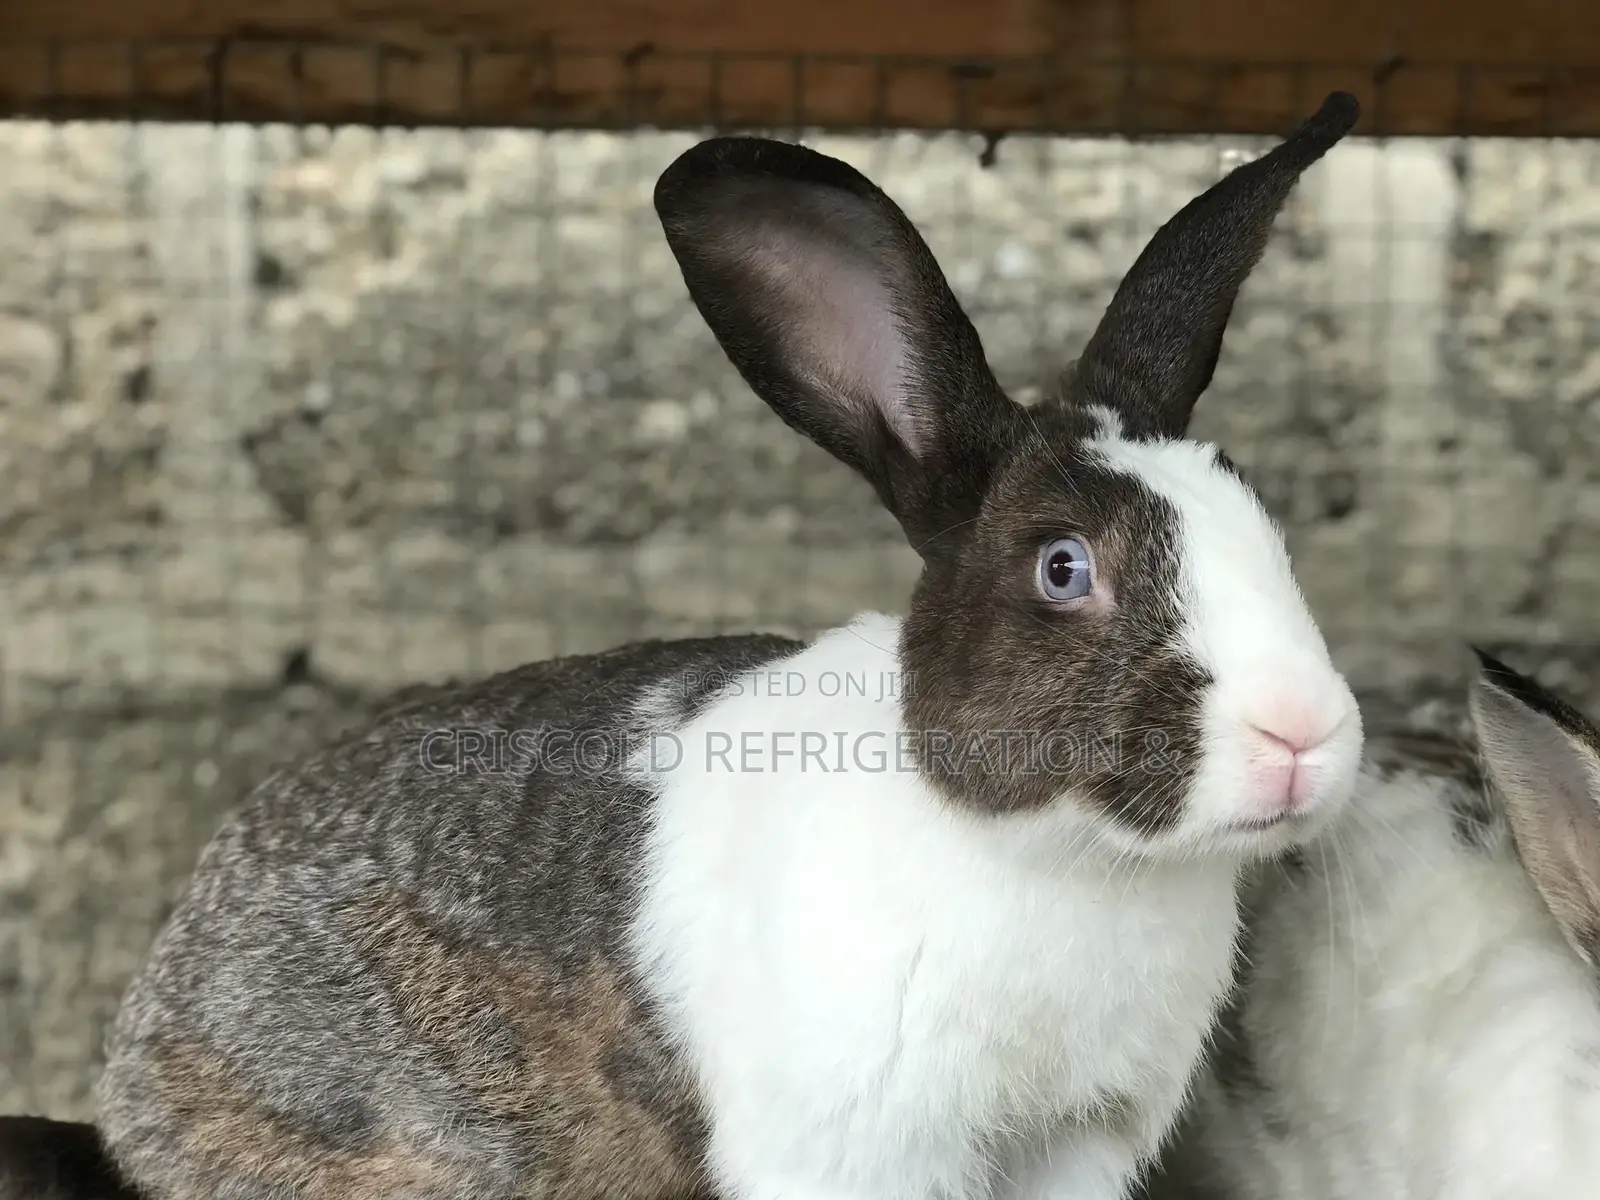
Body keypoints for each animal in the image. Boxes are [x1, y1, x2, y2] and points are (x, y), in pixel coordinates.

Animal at [93, 92, 1365, 1200]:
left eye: (1260, 516)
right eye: (1062, 568)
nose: (1302, 733)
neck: (1063, 861)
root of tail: (137, 1051)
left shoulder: (1075, 1147)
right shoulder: (853, 1152)